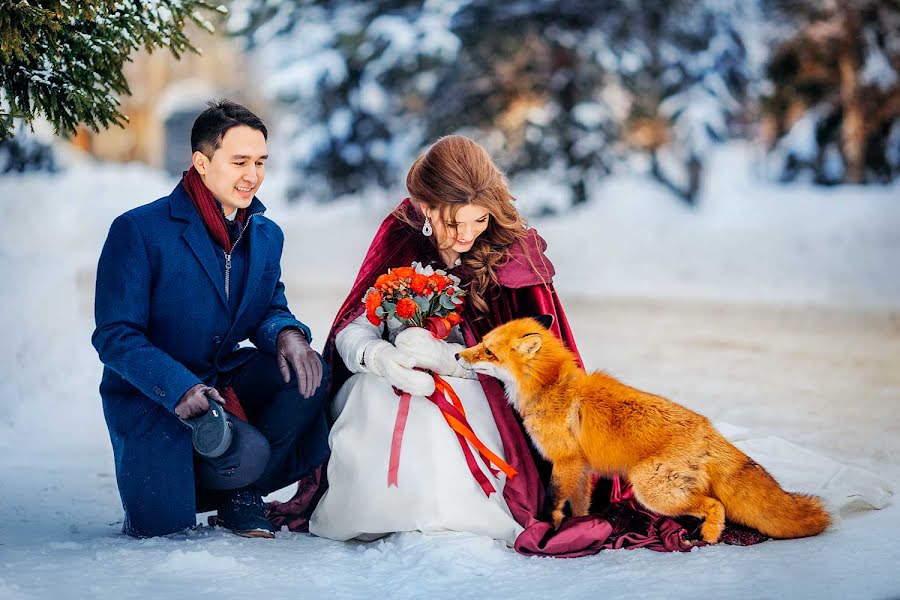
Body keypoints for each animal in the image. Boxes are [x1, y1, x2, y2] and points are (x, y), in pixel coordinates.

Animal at [458, 316, 828, 548]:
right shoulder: (582, 467)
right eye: (482, 342)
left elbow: (553, 501)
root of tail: (709, 428)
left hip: (649, 489)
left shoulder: (565, 461)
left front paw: (549, 530)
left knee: (715, 504)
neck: (550, 387)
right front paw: (583, 528)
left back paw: (706, 536)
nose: (458, 353)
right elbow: (579, 505)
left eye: (488, 351)